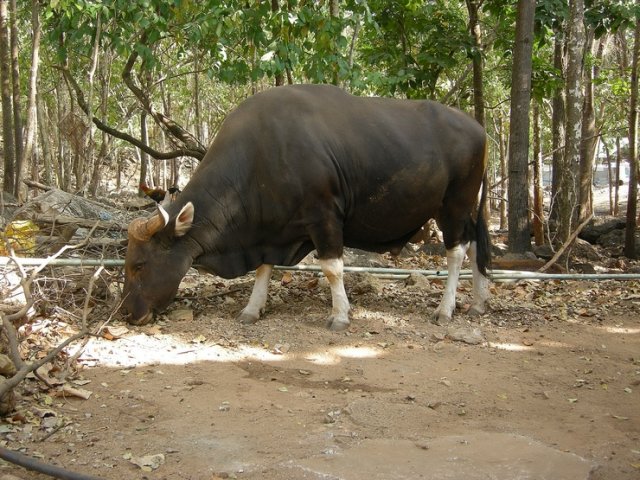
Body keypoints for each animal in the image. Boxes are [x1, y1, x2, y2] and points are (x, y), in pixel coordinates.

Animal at [122, 84, 490, 330]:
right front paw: (252, 308)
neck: (259, 155)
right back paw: (478, 302)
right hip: (465, 209)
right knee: (476, 244)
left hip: (454, 204)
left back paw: (445, 309)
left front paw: (340, 315)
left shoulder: (324, 216)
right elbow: (264, 268)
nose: (126, 313)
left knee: (457, 251)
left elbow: (332, 267)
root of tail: (479, 129)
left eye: (139, 265)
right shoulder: (271, 230)